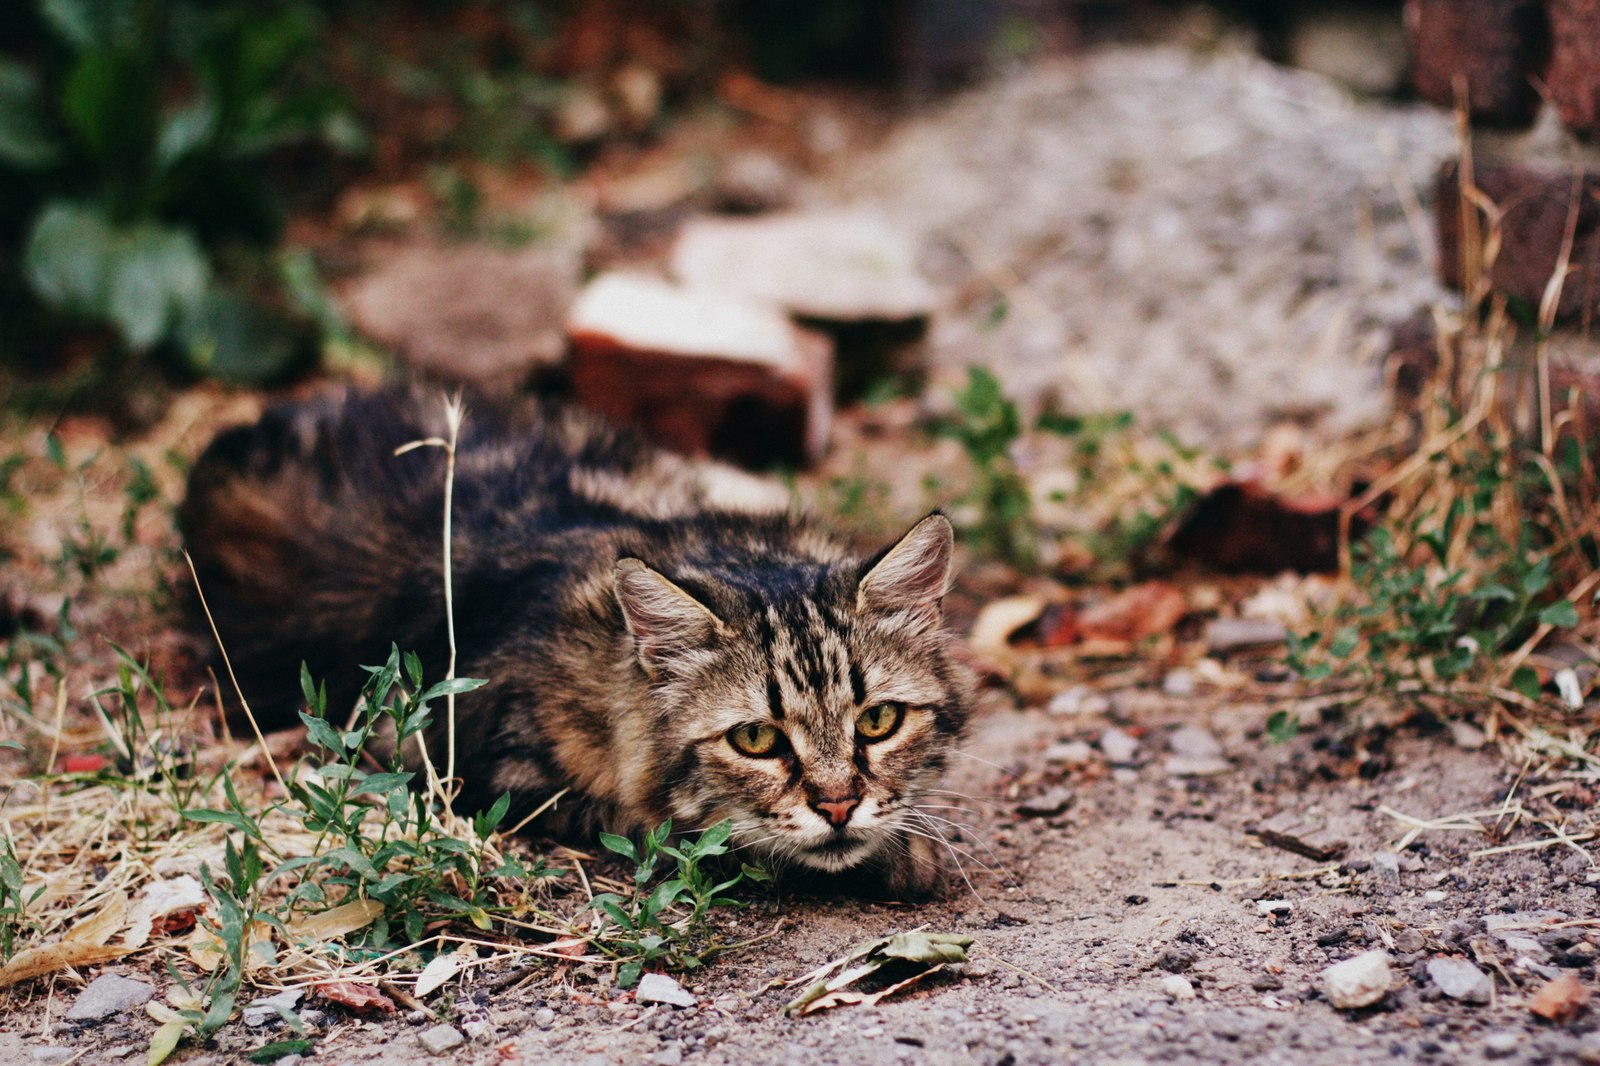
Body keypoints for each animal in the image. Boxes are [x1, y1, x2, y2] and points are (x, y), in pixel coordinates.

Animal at [178, 385, 972, 889]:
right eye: (756, 740)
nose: (837, 806)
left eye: (878, 721)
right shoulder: (482, 765)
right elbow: (693, 831)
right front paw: (901, 856)